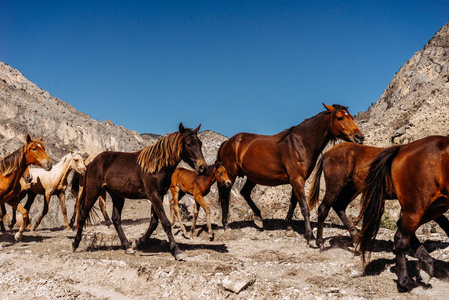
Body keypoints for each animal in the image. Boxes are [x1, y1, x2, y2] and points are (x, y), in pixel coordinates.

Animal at [72, 124, 206, 260]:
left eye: (200, 143)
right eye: (188, 144)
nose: (202, 167)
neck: (157, 166)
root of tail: (92, 162)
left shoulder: (158, 196)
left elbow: (154, 222)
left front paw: (137, 243)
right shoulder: (154, 196)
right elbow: (165, 223)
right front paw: (177, 251)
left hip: (117, 196)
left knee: (116, 219)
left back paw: (127, 247)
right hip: (93, 192)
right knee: (83, 214)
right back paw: (75, 244)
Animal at [215, 103, 362, 241]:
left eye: (351, 117)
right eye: (340, 117)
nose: (359, 137)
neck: (300, 143)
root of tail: (228, 142)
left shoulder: (296, 180)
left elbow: (293, 204)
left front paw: (289, 228)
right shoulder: (297, 180)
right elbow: (304, 207)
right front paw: (310, 236)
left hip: (253, 177)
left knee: (244, 192)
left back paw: (258, 219)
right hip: (231, 174)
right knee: (225, 196)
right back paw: (226, 225)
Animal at [308, 142, 449, 252]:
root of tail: (328, 153)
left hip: (351, 189)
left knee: (339, 207)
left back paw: (356, 237)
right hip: (335, 187)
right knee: (323, 209)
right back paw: (320, 243)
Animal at [356, 135, 449, 290]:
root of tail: (403, 148)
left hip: (435, 207)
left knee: (401, 228)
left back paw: (427, 267)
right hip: (416, 206)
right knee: (401, 238)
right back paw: (405, 281)